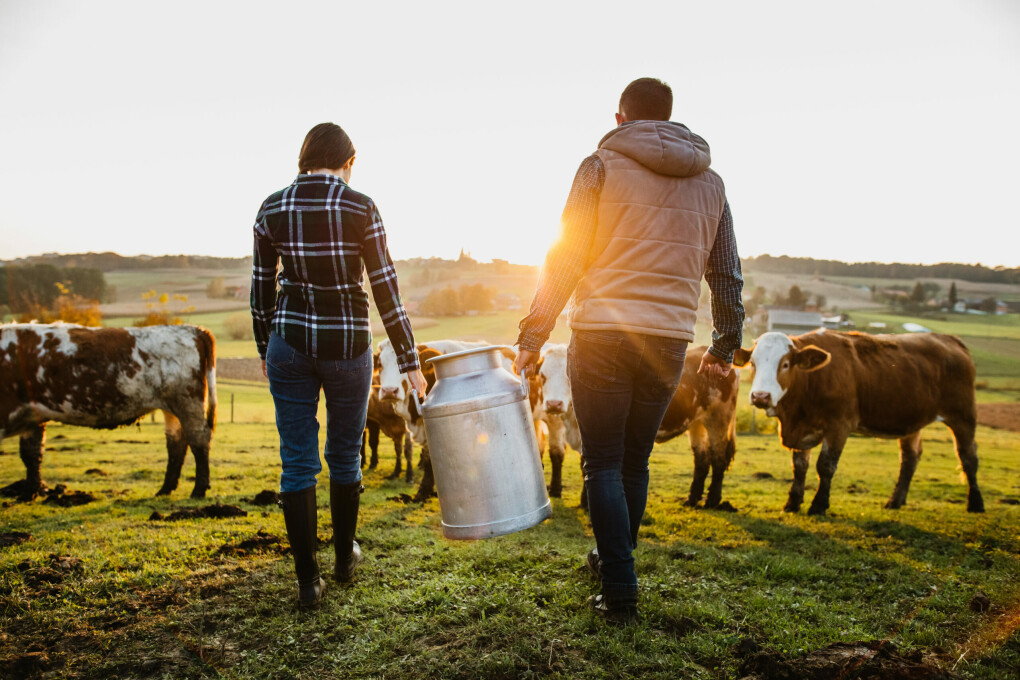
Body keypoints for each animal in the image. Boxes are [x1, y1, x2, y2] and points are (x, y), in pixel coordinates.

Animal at [0, 324, 217, 499]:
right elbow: (31, 455)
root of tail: (194, 330)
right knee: (176, 444)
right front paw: (31, 493)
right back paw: (165, 489)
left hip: (187, 402)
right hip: (172, 409)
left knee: (198, 439)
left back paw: (198, 490)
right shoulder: (32, 417)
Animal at [542, 346, 742, 509]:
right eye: (542, 376)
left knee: (718, 459)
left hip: (718, 420)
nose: (554, 404)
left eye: (567, 376)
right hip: (697, 424)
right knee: (701, 460)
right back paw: (692, 498)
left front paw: (586, 503)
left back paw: (713, 500)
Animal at [738, 330, 983, 515]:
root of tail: (949, 338)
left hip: (963, 415)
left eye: (786, 364)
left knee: (968, 457)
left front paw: (818, 505)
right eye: (752, 363)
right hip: (912, 421)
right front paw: (792, 503)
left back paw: (976, 503)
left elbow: (825, 465)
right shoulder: (800, 430)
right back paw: (895, 501)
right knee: (910, 458)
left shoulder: (839, 425)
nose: (760, 396)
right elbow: (799, 466)